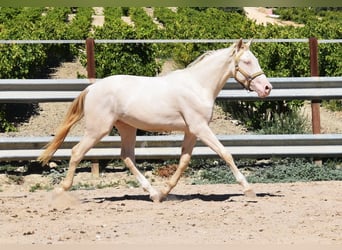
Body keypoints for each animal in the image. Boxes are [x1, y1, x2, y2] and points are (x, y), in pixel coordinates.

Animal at [37, 39, 272, 203]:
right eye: (247, 61)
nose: (267, 88)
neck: (197, 86)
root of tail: (92, 88)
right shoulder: (200, 128)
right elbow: (225, 153)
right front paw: (249, 189)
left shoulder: (191, 131)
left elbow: (184, 161)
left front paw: (165, 192)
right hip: (98, 129)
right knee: (77, 152)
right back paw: (60, 191)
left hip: (127, 128)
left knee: (127, 156)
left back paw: (153, 193)